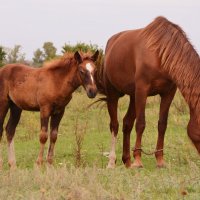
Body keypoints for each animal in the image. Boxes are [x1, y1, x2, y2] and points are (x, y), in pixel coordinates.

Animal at [96, 16, 199, 168]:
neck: (160, 53)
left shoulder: (168, 93)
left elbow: (162, 124)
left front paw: (160, 160)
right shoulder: (142, 90)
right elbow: (141, 124)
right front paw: (138, 161)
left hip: (133, 96)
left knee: (127, 123)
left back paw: (127, 161)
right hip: (113, 93)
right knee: (114, 125)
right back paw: (112, 162)